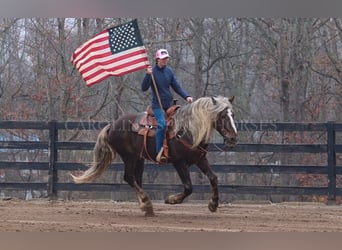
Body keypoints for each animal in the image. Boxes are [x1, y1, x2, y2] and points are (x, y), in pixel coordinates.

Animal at [71, 94, 238, 216]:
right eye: (223, 116)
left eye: (233, 114)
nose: (233, 138)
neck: (188, 130)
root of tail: (113, 125)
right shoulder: (179, 162)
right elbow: (189, 187)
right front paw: (172, 200)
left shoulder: (200, 159)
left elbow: (213, 178)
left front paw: (213, 204)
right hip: (129, 157)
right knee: (129, 177)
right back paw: (146, 203)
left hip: (139, 158)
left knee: (137, 179)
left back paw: (145, 206)